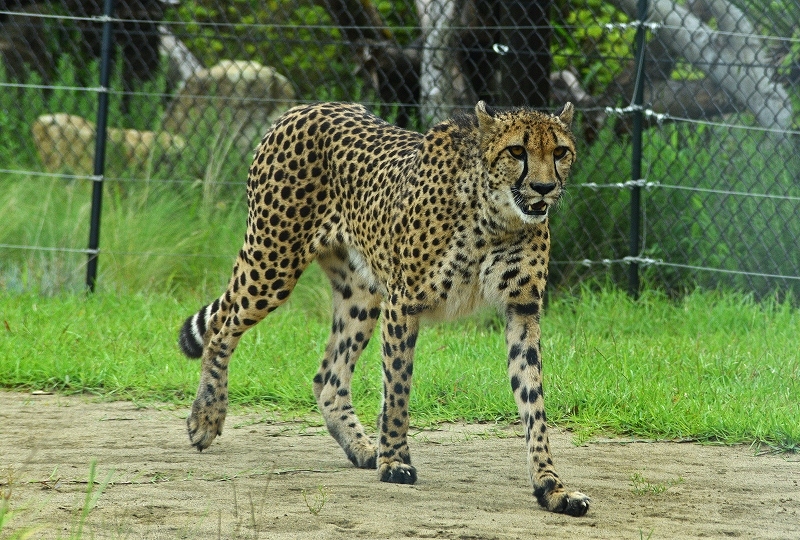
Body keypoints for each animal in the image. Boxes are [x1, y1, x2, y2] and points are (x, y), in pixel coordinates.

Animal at [178, 100, 592, 516]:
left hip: (360, 295)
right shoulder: (403, 302)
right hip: (272, 263)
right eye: (517, 150)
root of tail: (305, 107)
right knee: (222, 327)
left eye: (560, 151)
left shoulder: (522, 309)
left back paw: (361, 448)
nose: (544, 188)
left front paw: (551, 486)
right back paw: (206, 417)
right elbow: (398, 386)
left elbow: (533, 401)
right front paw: (394, 460)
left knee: (328, 377)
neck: (497, 217)